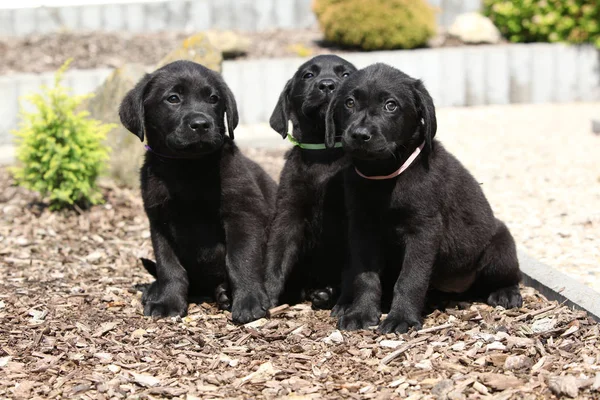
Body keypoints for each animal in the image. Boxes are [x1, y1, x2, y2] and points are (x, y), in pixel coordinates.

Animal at [119, 59, 276, 324]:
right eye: (173, 98)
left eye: (213, 99)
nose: (201, 125)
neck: (188, 167)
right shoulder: (160, 222)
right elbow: (169, 267)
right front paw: (167, 302)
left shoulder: (244, 214)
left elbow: (241, 258)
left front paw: (249, 301)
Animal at [264, 54, 356, 308]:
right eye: (308, 75)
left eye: (346, 74)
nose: (327, 85)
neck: (323, 154)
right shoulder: (288, 213)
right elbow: (276, 257)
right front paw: (267, 294)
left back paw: (327, 293)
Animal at [326, 64, 524, 332]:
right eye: (349, 102)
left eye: (391, 105)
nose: (359, 134)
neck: (382, 176)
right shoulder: (363, 229)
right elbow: (365, 276)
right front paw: (361, 312)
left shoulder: (423, 230)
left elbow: (411, 278)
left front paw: (401, 318)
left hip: (500, 248)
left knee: (510, 276)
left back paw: (506, 292)